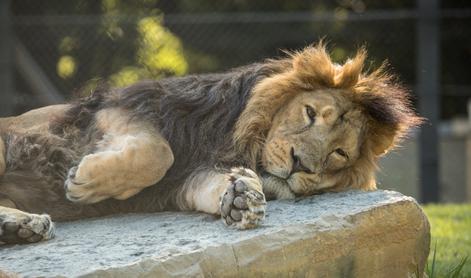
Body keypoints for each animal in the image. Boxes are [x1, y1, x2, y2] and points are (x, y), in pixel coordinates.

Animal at [0, 43, 420, 243]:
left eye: (339, 153)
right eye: (310, 113)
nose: (300, 162)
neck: (236, 142)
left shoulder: (183, 183)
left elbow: (203, 184)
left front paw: (242, 197)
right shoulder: (124, 106)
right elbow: (159, 153)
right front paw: (83, 181)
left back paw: (22, 226)